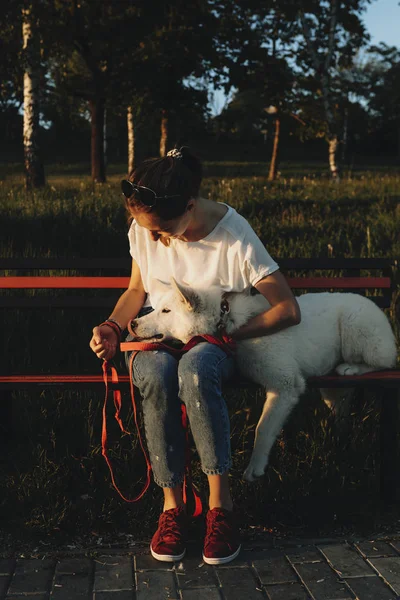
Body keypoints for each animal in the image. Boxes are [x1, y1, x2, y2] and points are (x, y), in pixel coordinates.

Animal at [131, 282, 396, 482]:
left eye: (166, 311)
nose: (133, 323)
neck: (226, 322)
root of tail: (378, 309)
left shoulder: (286, 385)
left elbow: (264, 427)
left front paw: (255, 467)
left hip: (358, 332)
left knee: (386, 361)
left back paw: (352, 367)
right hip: (330, 390)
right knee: (342, 407)